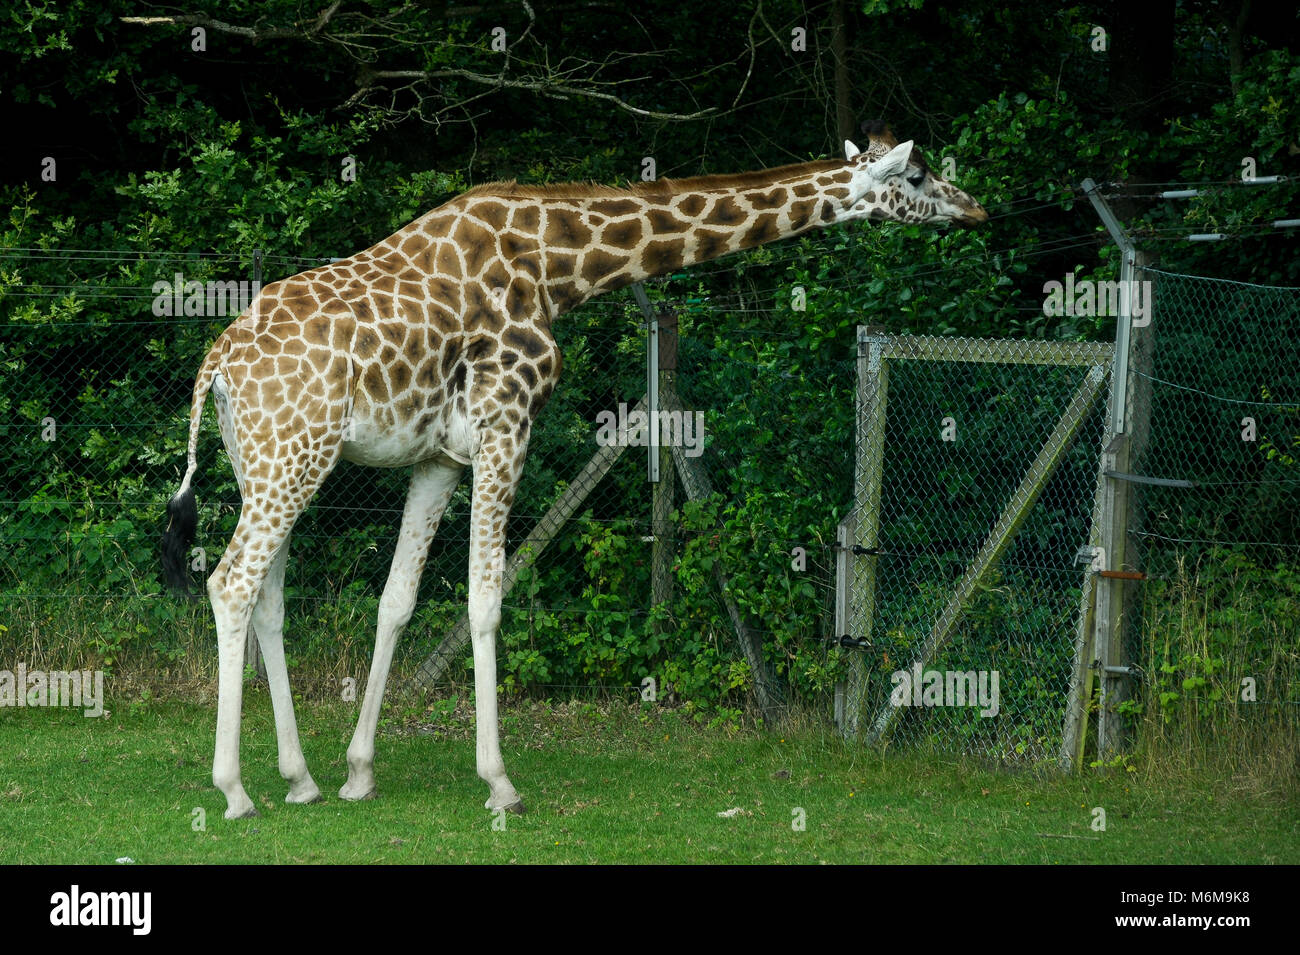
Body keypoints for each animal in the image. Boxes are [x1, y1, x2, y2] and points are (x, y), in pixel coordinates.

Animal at [157, 121, 977, 821]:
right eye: (917, 172)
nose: (976, 208)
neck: (558, 264)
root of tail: (215, 367)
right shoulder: (507, 420)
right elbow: (485, 599)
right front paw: (500, 783)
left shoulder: (439, 456)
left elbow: (398, 600)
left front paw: (360, 771)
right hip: (292, 457)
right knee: (230, 582)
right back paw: (235, 791)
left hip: (273, 462)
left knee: (268, 598)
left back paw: (300, 779)